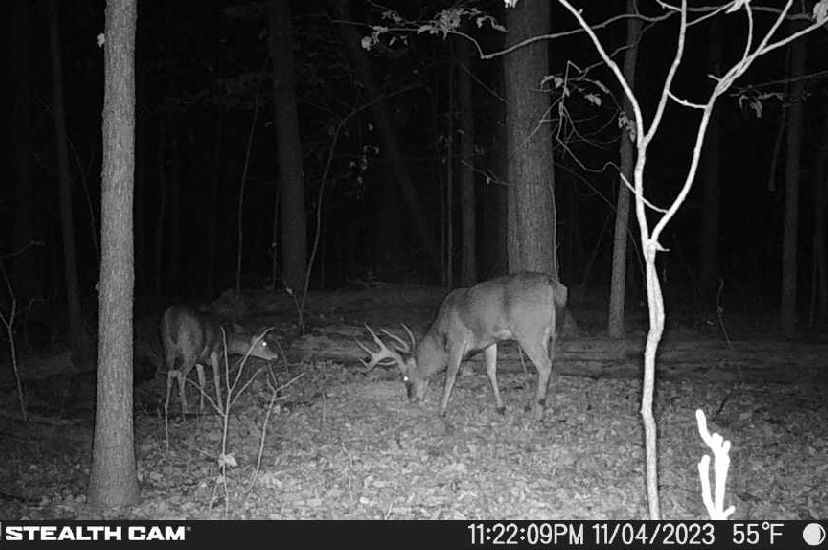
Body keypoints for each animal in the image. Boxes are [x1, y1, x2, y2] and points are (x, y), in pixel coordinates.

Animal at [357, 272, 568, 421]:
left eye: (405, 377)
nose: (411, 398)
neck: (441, 334)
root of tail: (552, 284)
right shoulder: (490, 340)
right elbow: (491, 371)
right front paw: (501, 408)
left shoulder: (458, 339)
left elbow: (451, 374)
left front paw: (441, 410)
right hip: (547, 334)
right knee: (550, 364)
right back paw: (541, 406)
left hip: (528, 330)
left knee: (545, 365)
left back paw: (538, 413)